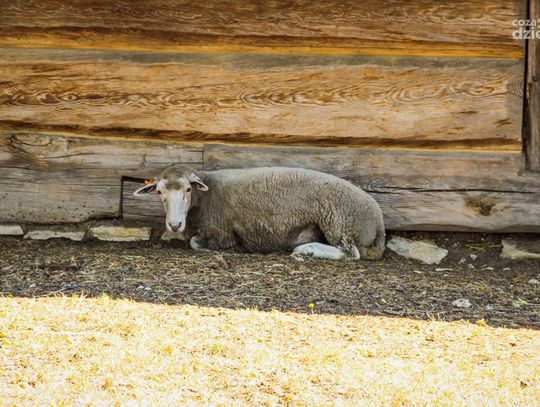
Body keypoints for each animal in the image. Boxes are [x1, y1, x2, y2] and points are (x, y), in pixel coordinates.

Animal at [134, 165, 385, 260]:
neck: (207, 195)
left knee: (351, 253)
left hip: (338, 221)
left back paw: (306, 250)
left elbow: (196, 243)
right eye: (159, 192)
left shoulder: (222, 234)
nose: (174, 225)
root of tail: (379, 224)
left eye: (188, 189)